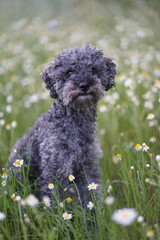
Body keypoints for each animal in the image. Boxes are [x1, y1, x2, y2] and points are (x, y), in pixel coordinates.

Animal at [8, 44, 115, 207]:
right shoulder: (55, 172)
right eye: (69, 72)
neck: (75, 127)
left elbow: (90, 198)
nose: (84, 85)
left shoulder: (88, 167)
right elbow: (55, 204)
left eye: (93, 69)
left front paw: (93, 214)